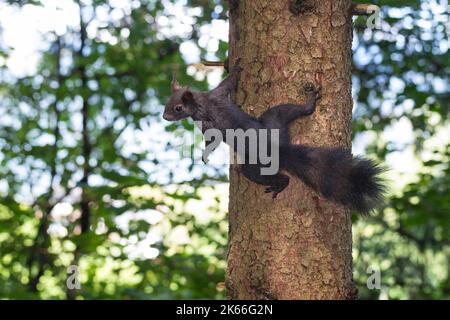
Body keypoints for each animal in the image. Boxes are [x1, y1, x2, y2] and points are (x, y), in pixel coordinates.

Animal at [163, 60, 384, 215]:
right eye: (167, 103)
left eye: (178, 108)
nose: (165, 117)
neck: (202, 103)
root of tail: (277, 148)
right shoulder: (213, 104)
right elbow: (226, 91)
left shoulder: (211, 107)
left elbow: (213, 132)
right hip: (275, 120)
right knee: (290, 112)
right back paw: (308, 105)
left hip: (256, 166)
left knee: (276, 176)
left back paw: (280, 184)